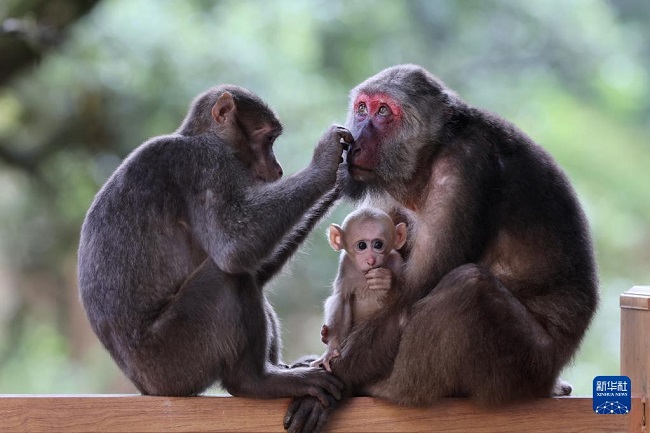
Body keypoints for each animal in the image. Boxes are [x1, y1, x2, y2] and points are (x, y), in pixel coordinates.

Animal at [310, 208, 404, 370]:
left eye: (378, 244)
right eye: (362, 246)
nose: (371, 259)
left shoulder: (397, 261)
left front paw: (387, 281)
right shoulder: (346, 264)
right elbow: (341, 299)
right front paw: (331, 349)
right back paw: (325, 335)